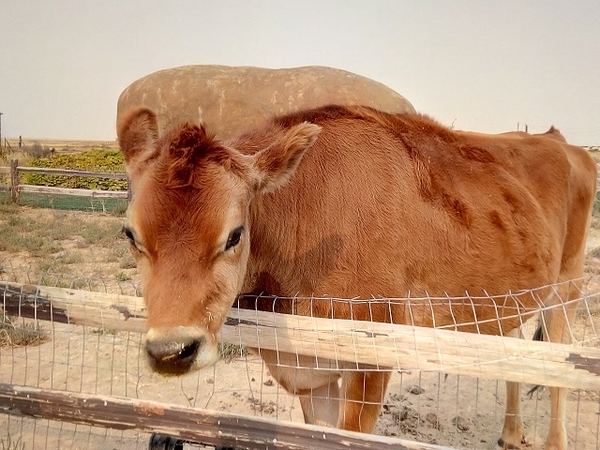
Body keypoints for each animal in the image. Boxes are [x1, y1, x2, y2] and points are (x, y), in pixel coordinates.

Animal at [116, 104, 596, 450]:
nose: (171, 350)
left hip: (568, 285)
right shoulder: (313, 375)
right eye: (131, 234)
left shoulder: (373, 359)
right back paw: (511, 434)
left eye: (234, 234)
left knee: (558, 361)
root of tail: (557, 139)